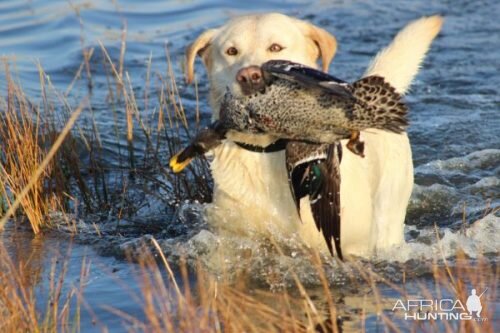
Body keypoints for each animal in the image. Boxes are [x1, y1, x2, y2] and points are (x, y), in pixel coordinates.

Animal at [184, 13, 442, 256]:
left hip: (389, 218)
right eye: (231, 51)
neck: (267, 152)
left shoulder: (351, 246)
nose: (249, 75)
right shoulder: (231, 239)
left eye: (275, 47)